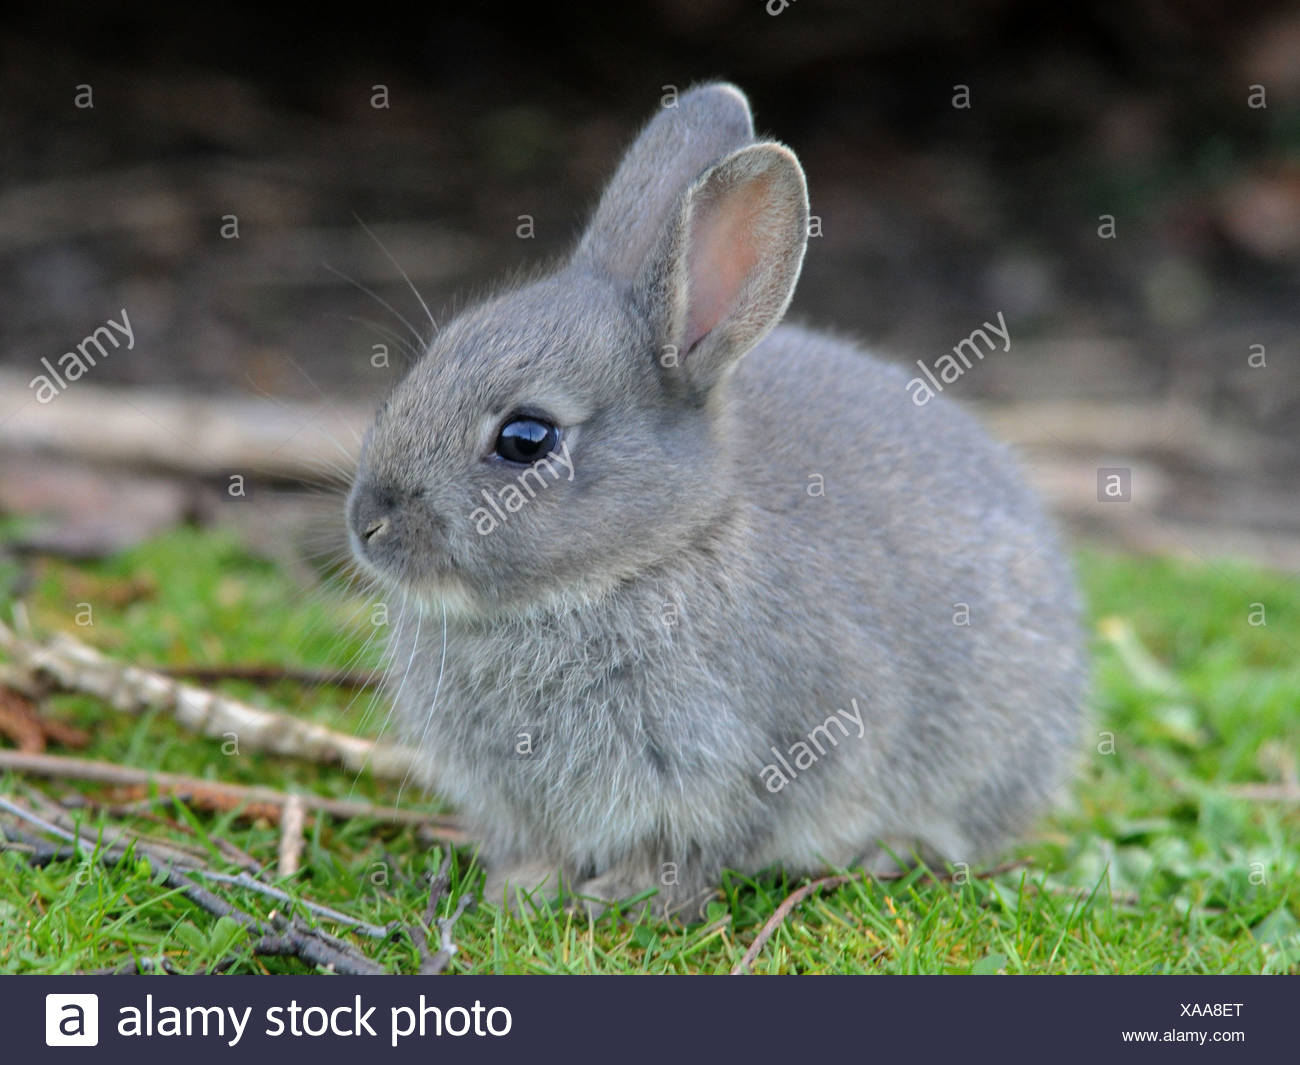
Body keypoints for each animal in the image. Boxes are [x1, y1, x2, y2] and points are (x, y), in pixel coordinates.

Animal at [345, 81, 1086, 915]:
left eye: (526, 439)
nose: (367, 523)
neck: (644, 559)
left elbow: (692, 847)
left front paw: (626, 895)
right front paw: (525, 887)